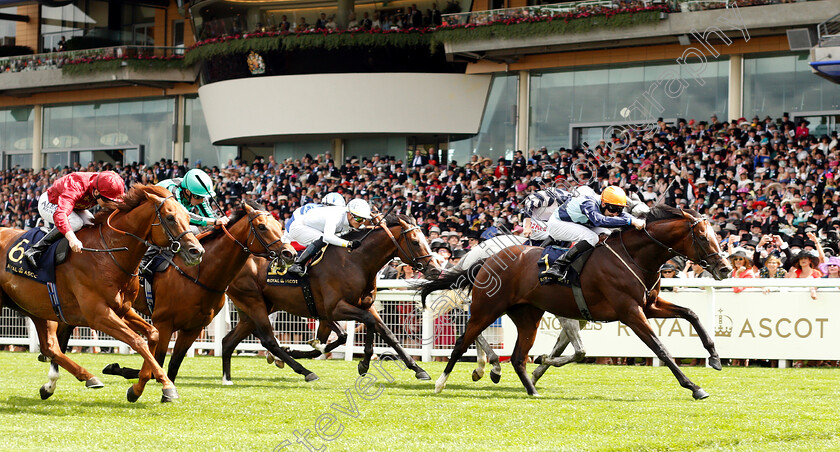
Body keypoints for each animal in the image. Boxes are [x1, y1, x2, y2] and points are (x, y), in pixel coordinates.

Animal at [0, 184, 203, 402]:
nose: (197, 251)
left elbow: (153, 334)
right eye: (170, 217)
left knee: (49, 347)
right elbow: (137, 340)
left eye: (189, 217)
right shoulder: (98, 314)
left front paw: (137, 388)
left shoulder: (122, 309)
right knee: (50, 347)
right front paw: (167, 386)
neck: (108, 254)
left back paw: (77, 379)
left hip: (34, 307)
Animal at [63, 201, 298, 388]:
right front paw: (118, 369)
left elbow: (173, 364)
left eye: (280, 226)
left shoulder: (193, 327)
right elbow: (156, 360)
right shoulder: (164, 322)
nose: (291, 253)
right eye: (262, 226)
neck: (201, 274)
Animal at [220, 214, 442, 384]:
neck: (355, 261)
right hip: (254, 303)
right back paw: (304, 371)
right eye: (415, 242)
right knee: (267, 339)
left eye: (426, 240)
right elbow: (364, 326)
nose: (435, 269)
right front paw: (363, 363)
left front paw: (418, 369)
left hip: (254, 309)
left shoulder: (364, 306)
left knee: (229, 341)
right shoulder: (335, 308)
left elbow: (387, 334)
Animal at [420, 205, 736, 400]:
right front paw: (694, 386)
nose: (725, 269)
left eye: (716, 236)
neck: (634, 256)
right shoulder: (630, 312)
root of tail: (486, 259)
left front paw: (715, 357)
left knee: (517, 355)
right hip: (487, 307)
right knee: (464, 340)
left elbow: (692, 313)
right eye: (703, 237)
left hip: (527, 316)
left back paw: (528, 388)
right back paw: (444, 381)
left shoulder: (649, 306)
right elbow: (660, 348)